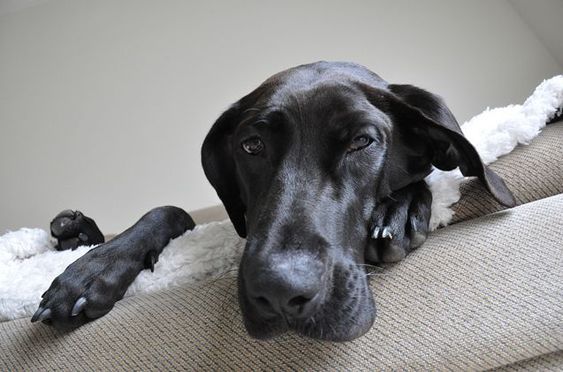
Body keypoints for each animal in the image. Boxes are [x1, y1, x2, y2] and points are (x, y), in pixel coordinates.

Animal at [32, 60, 516, 340]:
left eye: (362, 141)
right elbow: (169, 210)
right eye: (252, 146)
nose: (280, 293)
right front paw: (88, 273)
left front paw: (398, 210)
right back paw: (73, 233)